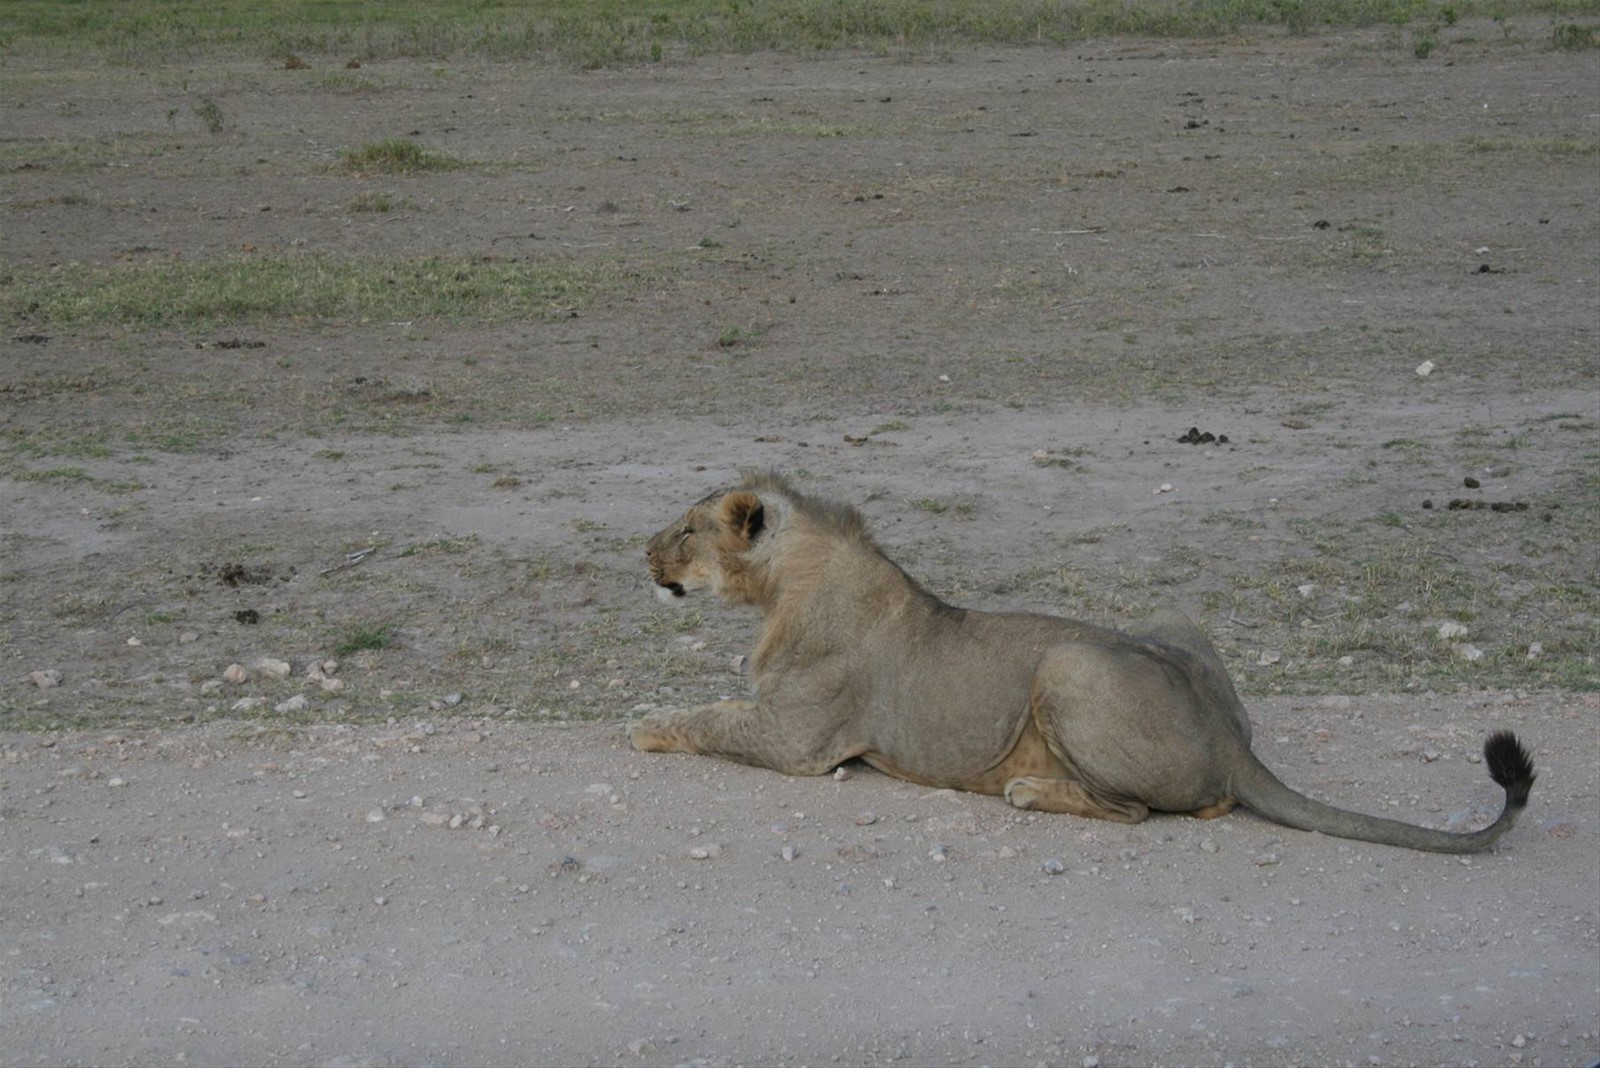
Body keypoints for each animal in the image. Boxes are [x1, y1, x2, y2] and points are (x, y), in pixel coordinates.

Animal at [629, 472, 1534, 853]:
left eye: (686, 530)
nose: (642, 551)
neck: (780, 588)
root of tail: (1227, 736)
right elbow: (716, 707)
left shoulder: (800, 743)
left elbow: (708, 719)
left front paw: (640, 727)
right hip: (1166, 620)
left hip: (1067, 667)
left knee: (1140, 810)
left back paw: (1032, 789)